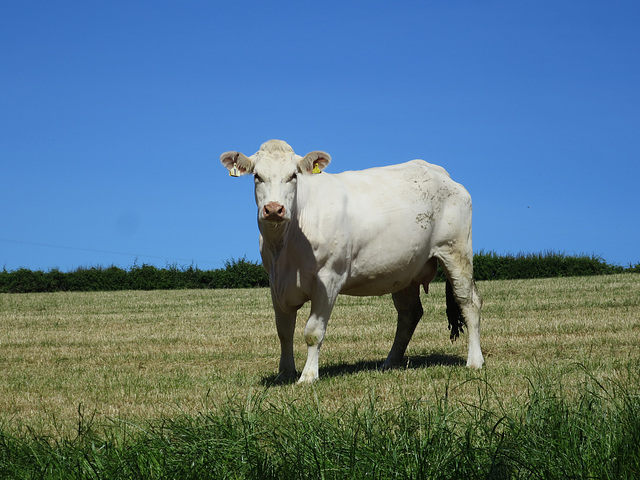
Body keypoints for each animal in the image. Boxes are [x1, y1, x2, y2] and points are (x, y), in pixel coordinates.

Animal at [221, 139, 484, 382]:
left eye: (293, 175)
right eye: (257, 176)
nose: (274, 209)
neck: (287, 244)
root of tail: (439, 172)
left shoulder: (328, 280)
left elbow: (313, 331)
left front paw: (308, 376)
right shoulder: (276, 283)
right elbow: (284, 331)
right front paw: (285, 374)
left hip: (456, 250)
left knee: (469, 302)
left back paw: (475, 360)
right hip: (404, 268)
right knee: (409, 313)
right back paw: (390, 362)